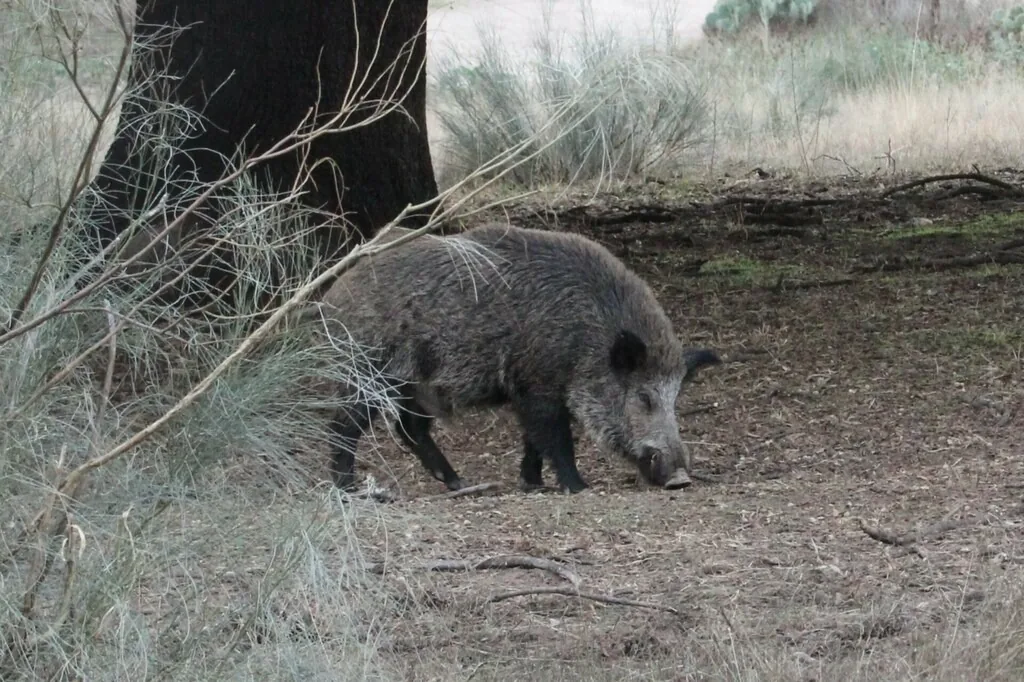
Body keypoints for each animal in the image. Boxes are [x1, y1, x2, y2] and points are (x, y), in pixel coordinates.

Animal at [315, 221, 721, 493]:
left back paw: (458, 482)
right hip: (369, 371)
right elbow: (555, 438)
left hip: (413, 384)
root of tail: (335, 294)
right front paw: (578, 487)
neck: (589, 336)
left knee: (409, 428)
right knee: (343, 425)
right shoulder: (538, 384)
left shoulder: (531, 390)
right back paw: (348, 489)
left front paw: (532, 484)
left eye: (676, 398)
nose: (680, 478)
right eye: (644, 397)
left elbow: (534, 440)